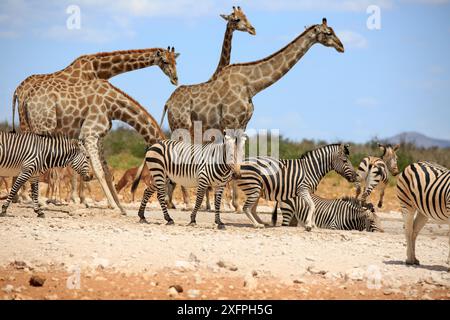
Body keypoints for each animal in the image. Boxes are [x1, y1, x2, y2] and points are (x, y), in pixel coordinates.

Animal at [11, 46, 179, 214]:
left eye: (175, 61)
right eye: (165, 61)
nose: (176, 79)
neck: (113, 105)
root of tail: (23, 95)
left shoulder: (98, 136)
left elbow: (105, 171)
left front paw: (119, 207)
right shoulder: (89, 134)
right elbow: (97, 171)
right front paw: (107, 205)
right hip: (42, 126)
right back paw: (36, 201)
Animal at [162, 18, 344, 211]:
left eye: (333, 30)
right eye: (328, 33)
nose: (341, 46)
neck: (251, 86)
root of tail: (168, 102)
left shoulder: (242, 126)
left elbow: (238, 161)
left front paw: (234, 203)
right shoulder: (230, 124)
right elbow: (230, 162)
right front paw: (230, 204)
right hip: (181, 127)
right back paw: (184, 202)